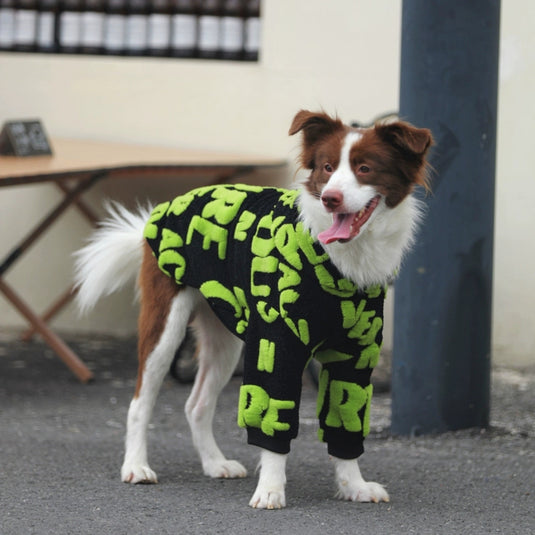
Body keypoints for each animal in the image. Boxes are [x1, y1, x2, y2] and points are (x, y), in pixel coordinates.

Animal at [74, 110, 432, 510]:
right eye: (326, 168)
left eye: (365, 168)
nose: (330, 199)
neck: (336, 263)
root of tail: (165, 208)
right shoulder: (276, 345)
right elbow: (271, 413)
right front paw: (271, 489)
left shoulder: (355, 355)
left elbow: (346, 418)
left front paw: (352, 484)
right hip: (166, 325)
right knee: (140, 401)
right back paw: (136, 466)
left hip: (226, 340)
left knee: (196, 405)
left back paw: (214, 463)